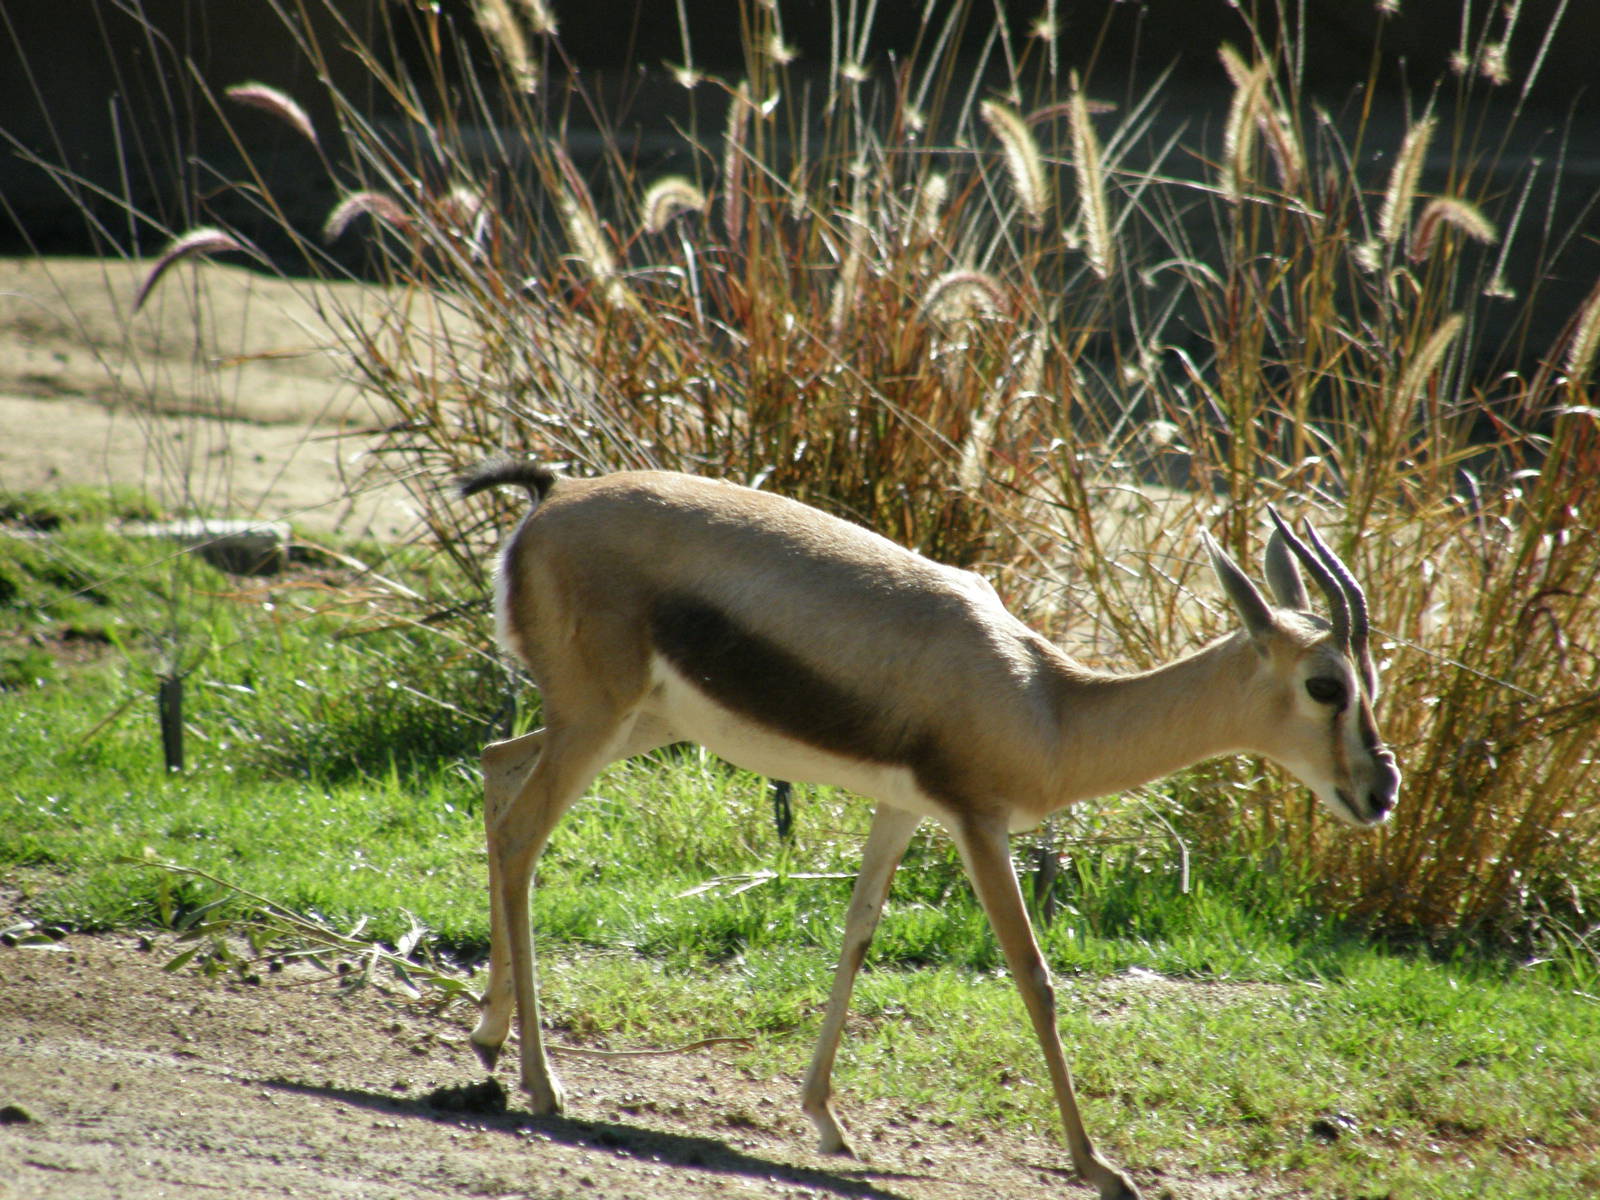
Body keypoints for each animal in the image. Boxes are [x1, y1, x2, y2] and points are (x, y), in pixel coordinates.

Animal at [458, 460, 1399, 1200]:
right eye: (1325, 685)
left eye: (1372, 679)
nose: (1380, 789)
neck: (1048, 707)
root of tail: (551, 496)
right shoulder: (978, 822)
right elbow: (1035, 976)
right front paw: (1099, 1168)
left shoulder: (903, 807)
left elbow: (858, 931)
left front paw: (825, 1119)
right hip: (599, 721)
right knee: (523, 837)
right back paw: (543, 1083)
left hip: (630, 724)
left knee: (499, 769)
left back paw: (488, 1038)